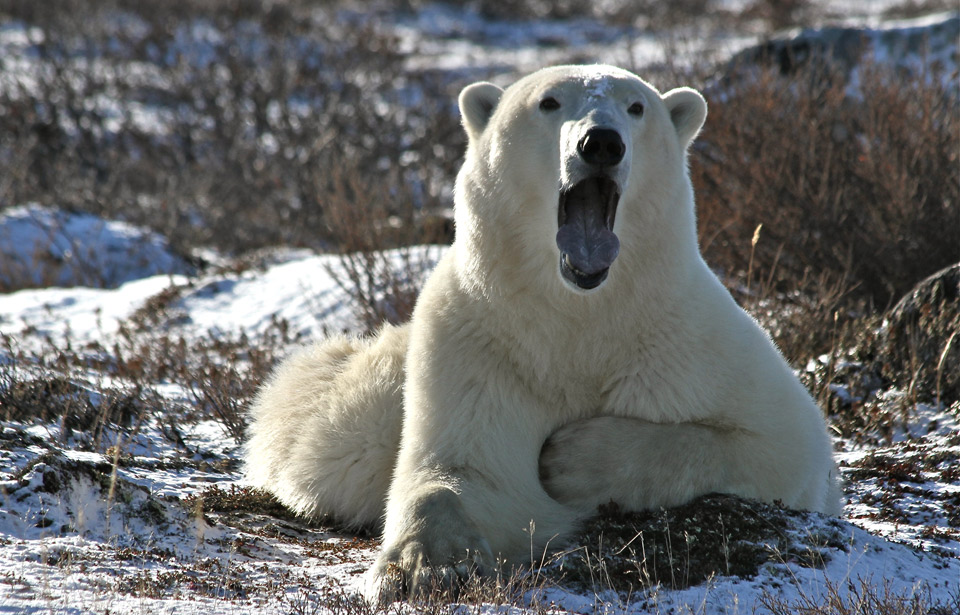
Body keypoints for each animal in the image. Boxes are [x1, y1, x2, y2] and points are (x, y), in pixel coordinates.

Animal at [246, 65, 840, 604]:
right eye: (548, 102)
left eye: (636, 107)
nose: (600, 143)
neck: (580, 312)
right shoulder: (480, 346)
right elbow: (463, 471)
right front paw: (424, 567)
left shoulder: (692, 343)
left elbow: (775, 444)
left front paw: (570, 458)